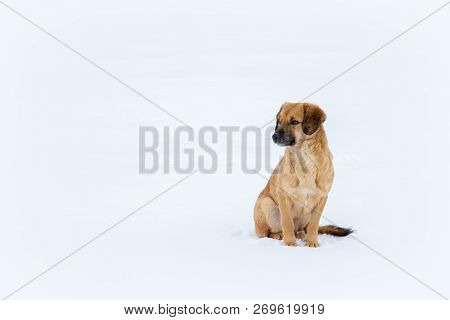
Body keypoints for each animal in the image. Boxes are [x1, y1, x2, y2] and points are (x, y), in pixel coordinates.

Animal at [253, 102, 352, 248]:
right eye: (279, 121)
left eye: (294, 122)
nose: (274, 136)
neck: (305, 158)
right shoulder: (284, 196)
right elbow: (287, 222)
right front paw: (289, 242)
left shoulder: (322, 197)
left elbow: (314, 225)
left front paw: (312, 242)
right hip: (267, 203)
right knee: (268, 233)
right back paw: (279, 235)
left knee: (303, 229)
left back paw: (301, 235)